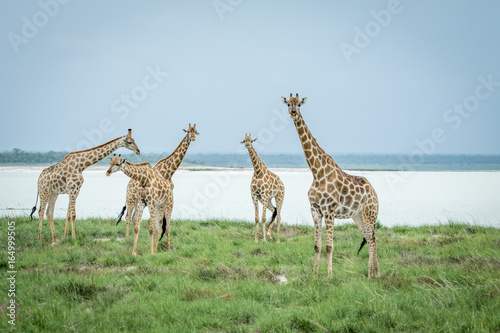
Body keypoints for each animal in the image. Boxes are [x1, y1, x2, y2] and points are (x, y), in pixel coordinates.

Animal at [282, 94, 378, 278]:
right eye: (288, 104)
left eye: (299, 104)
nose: (293, 113)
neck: (317, 172)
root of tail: (375, 193)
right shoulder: (315, 210)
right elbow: (317, 246)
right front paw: (314, 274)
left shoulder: (329, 210)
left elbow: (329, 246)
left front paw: (329, 275)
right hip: (358, 216)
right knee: (372, 238)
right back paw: (375, 274)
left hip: (370, 214)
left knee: (372, 239)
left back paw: (372, 275)